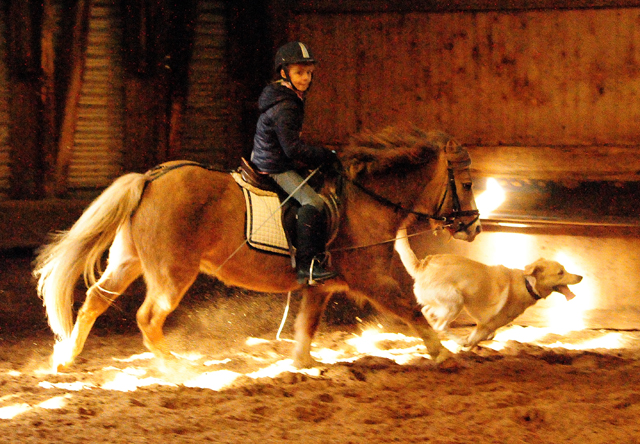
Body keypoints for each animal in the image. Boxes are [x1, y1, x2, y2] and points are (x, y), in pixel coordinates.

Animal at [31, 127, 480, 372]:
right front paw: (445, 356)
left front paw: (301, 364)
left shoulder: (319, 285)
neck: (365, 198)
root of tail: (151, 178)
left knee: (95, 299)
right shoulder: (372, 280)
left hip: (129, 262)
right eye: (468, 182)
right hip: (172, 274)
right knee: (147, 317)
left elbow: (306, 325)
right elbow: (412, 311)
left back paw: (67, 358)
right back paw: (176, 366)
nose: (473, 225)